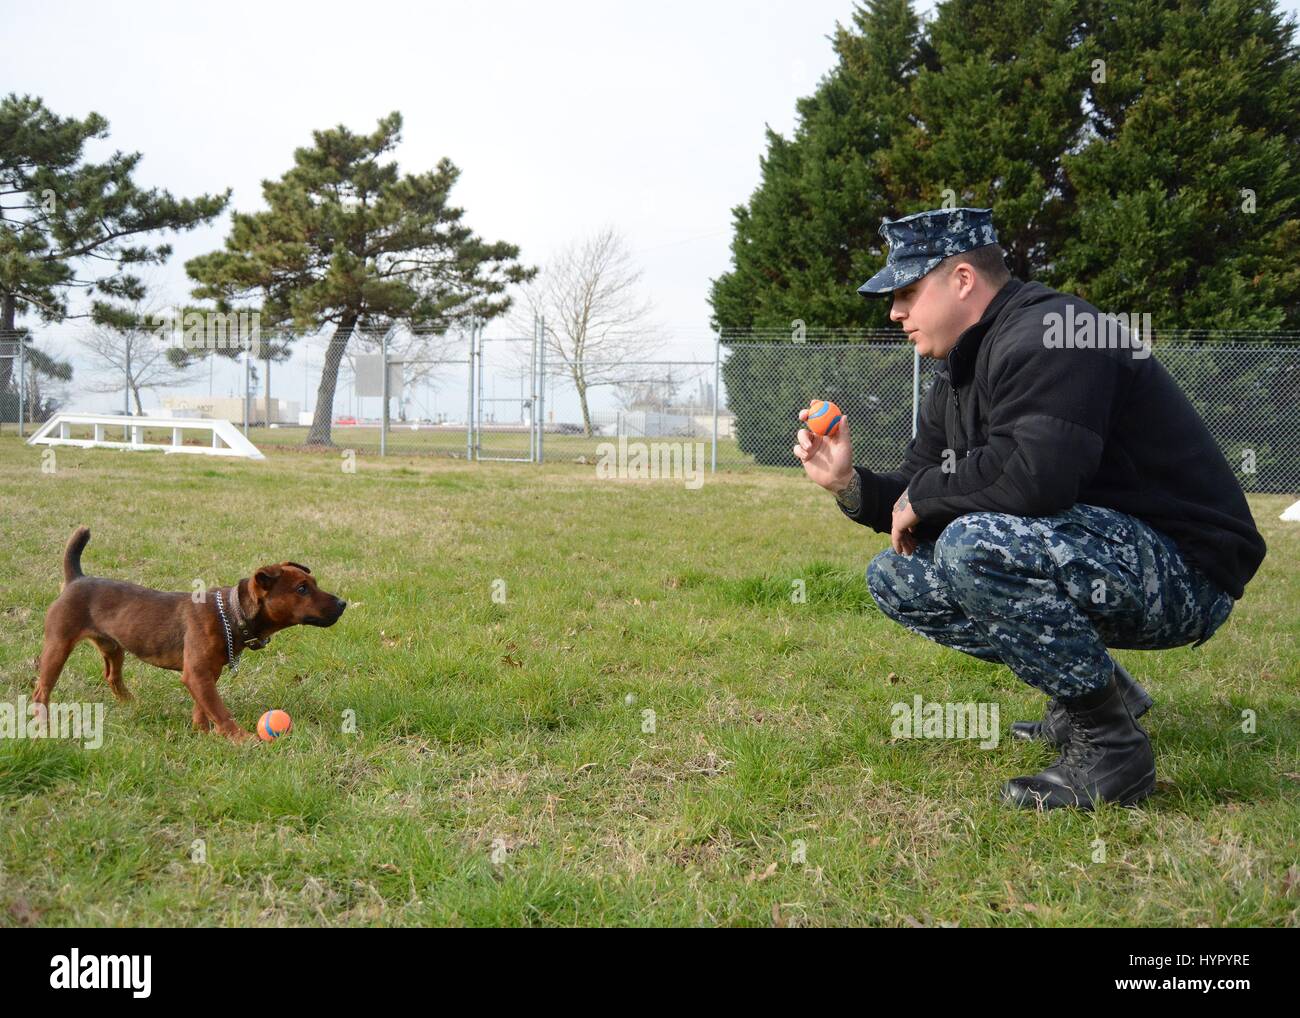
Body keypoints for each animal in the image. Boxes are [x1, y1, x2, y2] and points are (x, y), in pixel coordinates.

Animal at [36, 530, 348, 743]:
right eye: (302, 589)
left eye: (313, 584)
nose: (343, 603)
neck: (231, 612)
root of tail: (76, 579)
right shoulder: (197, 674)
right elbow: (220, 709)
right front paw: (241, 738)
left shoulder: (206, 674)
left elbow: (203, 706)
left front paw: (202, 732)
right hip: (58, 646)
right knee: (42, 690)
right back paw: (43, 724)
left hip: (113, 647)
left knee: (112, 676)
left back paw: (131, 704)